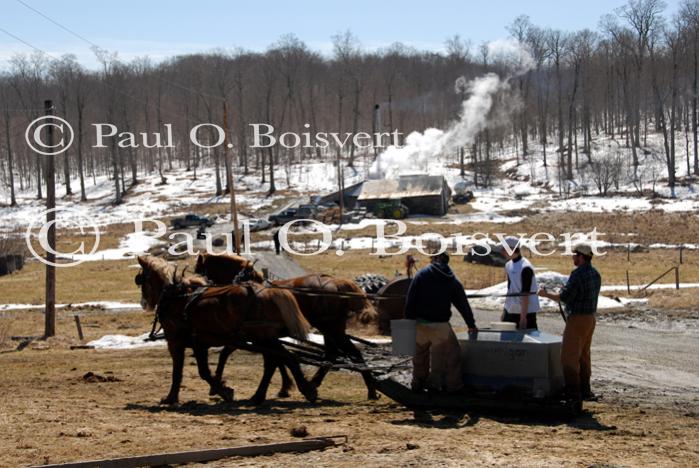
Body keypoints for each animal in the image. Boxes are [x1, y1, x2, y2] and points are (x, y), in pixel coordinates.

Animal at [137, 254, 318, 404]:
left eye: (141, 279)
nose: (143, 303)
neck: (176, 298)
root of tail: (269, 291)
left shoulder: (176, 342)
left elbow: (185, 371)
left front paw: (171, 398)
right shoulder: (201, 343)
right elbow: (205, 368)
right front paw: (221, 389)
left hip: (263, 338)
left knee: (284, 358)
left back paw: (302, 390)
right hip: (264, 338)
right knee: (280, 359)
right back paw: (266, 394)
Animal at [194, 252, 380, 398]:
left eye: (199, 271)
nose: (200, 290)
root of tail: (337, 283)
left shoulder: (249, 335)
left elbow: (228, 354)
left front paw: (216, 386)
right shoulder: (259, 336)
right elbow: (278, 358)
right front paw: (286, 387)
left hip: (332, 328)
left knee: (353, 353)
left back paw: (370, 390)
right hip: (329, 329)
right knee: (332, 353)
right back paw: (315, 382)